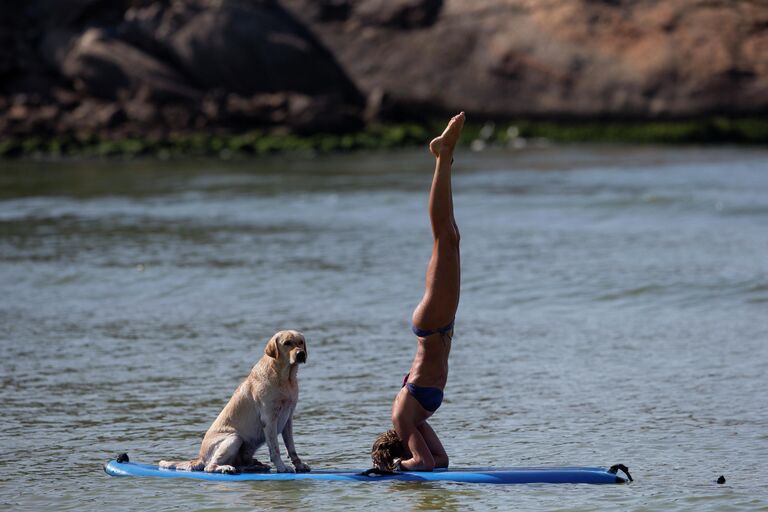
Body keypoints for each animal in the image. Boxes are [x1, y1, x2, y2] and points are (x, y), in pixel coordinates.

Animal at [160, 330, 312, 474]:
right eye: (287, 343)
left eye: (300, 342)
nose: (301, 354)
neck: (286, 378)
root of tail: (200, 458)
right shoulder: (269, 419)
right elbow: (275, 449)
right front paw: (281, 467)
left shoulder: (288, 419)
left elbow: (291, 448)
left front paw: (299, 464)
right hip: (234, 438)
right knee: (209, 467)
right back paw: (226, 468)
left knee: (239, 464)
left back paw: (254, 466)